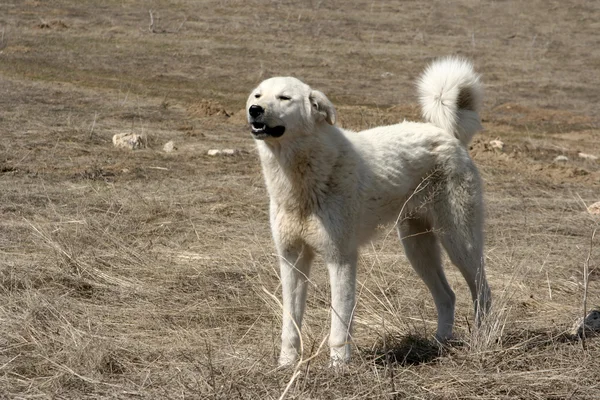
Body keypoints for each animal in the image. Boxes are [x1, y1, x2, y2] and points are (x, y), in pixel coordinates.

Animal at [246, 57, 490, 368]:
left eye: (284, 98)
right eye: (257, 95)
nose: (255, 110)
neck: (300, 178)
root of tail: (447, 134)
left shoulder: (341, 260)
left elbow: (339, 323)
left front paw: (338, 367)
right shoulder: (292, 261)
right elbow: (290, 324)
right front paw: (287, 365)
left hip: (460, 243)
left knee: (482, 293)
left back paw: (483, 340)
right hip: (417, 249)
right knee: (448, 296)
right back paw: (439, 344)